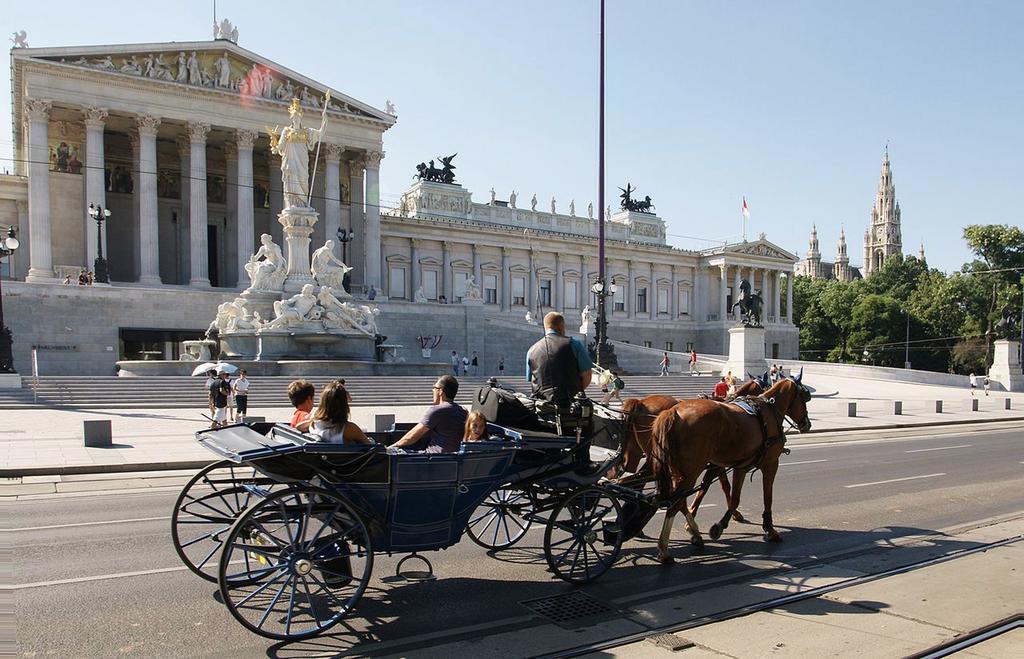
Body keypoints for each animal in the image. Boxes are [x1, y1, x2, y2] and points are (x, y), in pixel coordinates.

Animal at [647, 376, 806, 560]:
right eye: (805, 397)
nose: (807, 424)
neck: (768, 411)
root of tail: (672, 411)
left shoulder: (736, 466)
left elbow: (726, 492)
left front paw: (724, 519)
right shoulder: (771, 463)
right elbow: (766, 497)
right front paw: (769, 529)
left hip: (678, 472)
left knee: (679, 501)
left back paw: (693, 534)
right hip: (691, 471)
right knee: (675, 503)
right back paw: (665, 548)